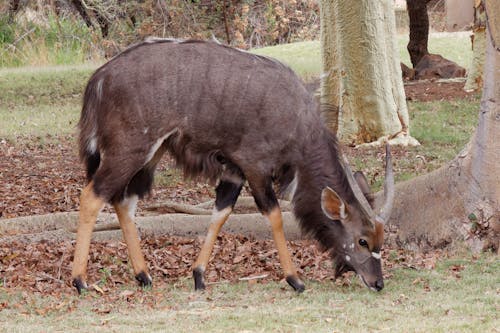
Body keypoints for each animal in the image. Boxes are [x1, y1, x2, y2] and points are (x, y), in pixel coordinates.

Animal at [72, 38, 394, 294]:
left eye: (380, 240)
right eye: (363, 241)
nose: (378, 283)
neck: (299, 122)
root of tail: (99, 78)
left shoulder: (234, 172)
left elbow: (221, 213)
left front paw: (199, 276)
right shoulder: (255, 166)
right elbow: (275, 215)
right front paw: (295, 279)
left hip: (151, 155)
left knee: (124, 201)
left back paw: (144, 275)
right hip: (130, 151)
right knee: (91, 196)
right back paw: (80, 280)